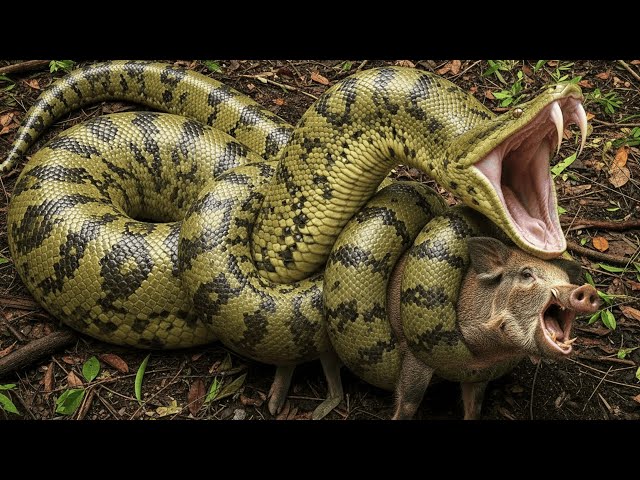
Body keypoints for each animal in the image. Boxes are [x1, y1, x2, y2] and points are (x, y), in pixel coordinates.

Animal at [391, 236, 601, 420]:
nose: (588, 290)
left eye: (565, 279)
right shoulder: (414, 353)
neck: (491, 352)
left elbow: (475, 407)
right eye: (526, 274)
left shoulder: (481, 374)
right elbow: (409, 402)